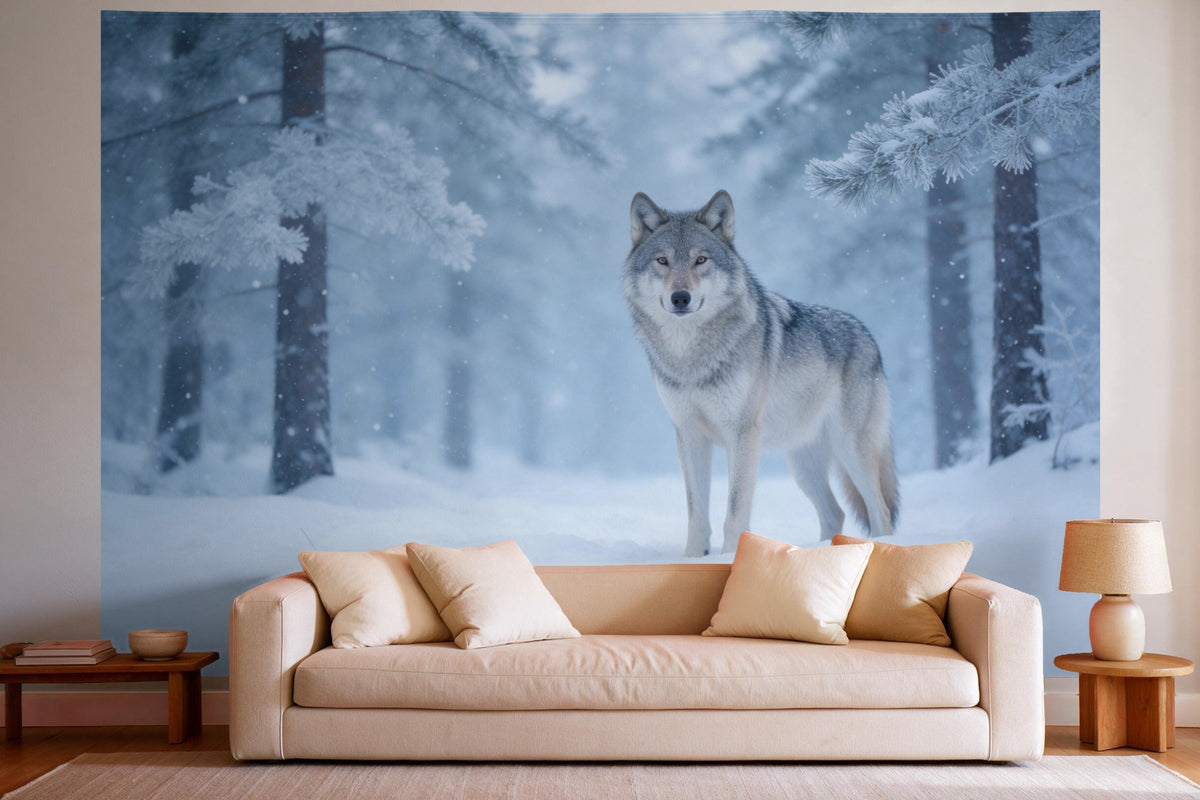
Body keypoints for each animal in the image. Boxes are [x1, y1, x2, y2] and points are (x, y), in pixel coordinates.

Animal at [622, 190, 899, 556]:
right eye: (663, 261)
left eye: (701, 260)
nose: (680, 297)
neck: (691, 357)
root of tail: (868, 334)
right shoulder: (689, 435)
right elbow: (696, 512)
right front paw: (693, 558)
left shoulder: (741, 434)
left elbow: (735, 510)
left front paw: (728, 558)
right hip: (803, 465)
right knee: (835, 512)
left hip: (850, 449)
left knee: (880, 510)